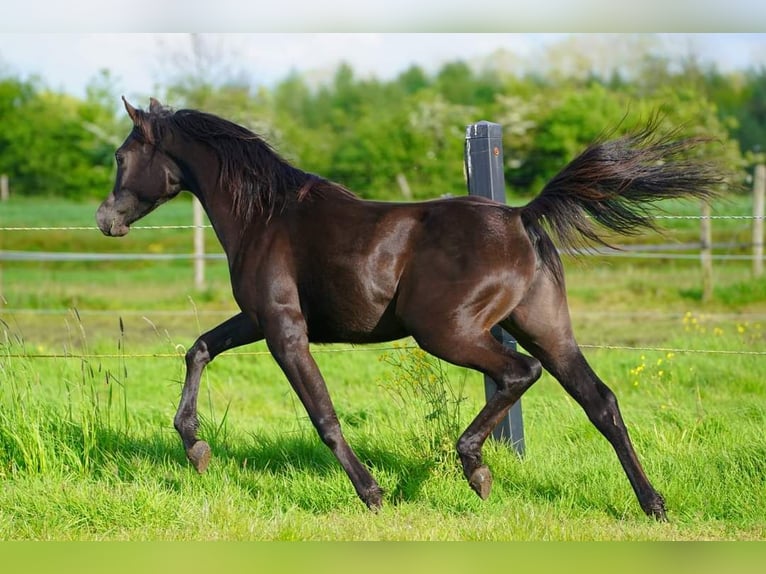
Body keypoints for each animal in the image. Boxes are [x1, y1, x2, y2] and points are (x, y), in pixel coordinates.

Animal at [97, 99, 728, 520]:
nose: (106, 219)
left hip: (445, 332)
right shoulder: (256, 320)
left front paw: (373, 494)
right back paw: (653, 504)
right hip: (544, 328)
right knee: (601, 402)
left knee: (520, 373)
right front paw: (195, 446)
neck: (266, 216)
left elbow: (323, 415)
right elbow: (199, 348)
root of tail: (521, 216)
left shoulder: (283, 329)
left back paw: (475, 466)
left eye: (122, 155)